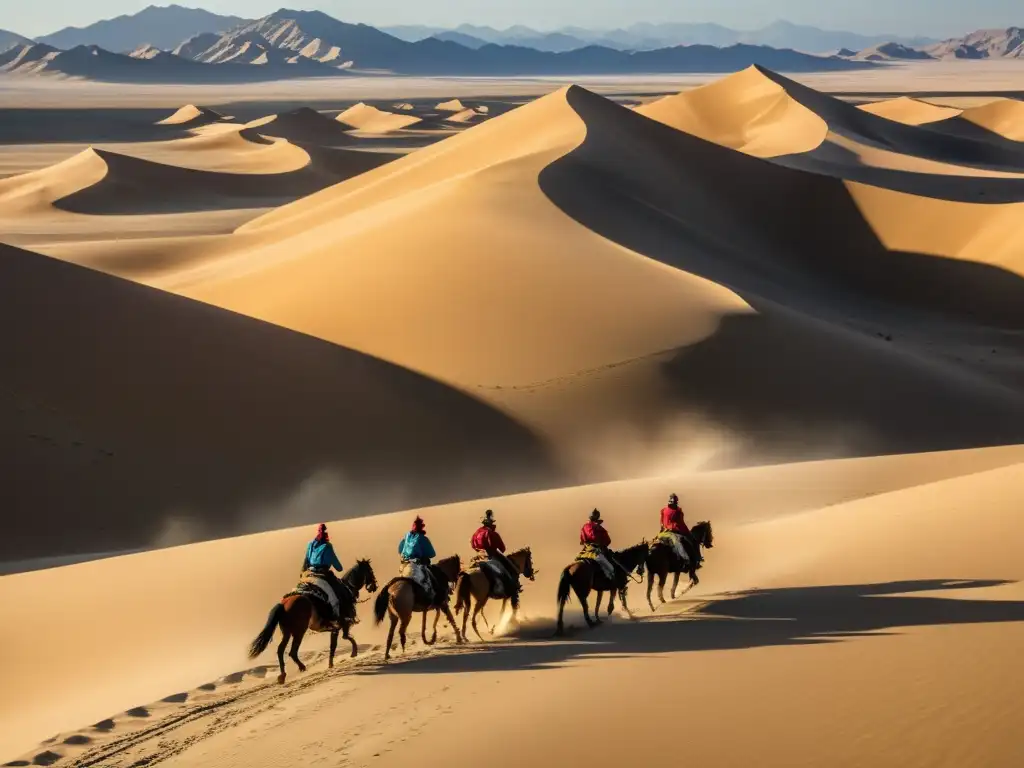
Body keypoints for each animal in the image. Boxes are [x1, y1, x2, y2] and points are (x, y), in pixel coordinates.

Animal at [245, 561, 378, 684]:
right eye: (370, 571)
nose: (374, 586)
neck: (347, 589)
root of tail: (283, 605)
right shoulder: (343, 623)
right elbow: (345, 638)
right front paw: (353, 653)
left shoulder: (335, 627)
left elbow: (334, 644)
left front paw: (331, 664)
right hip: (299, 631)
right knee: (292, 651)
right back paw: (302, 667)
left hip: (287, 632)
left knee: (280, 650)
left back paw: (282, 675)